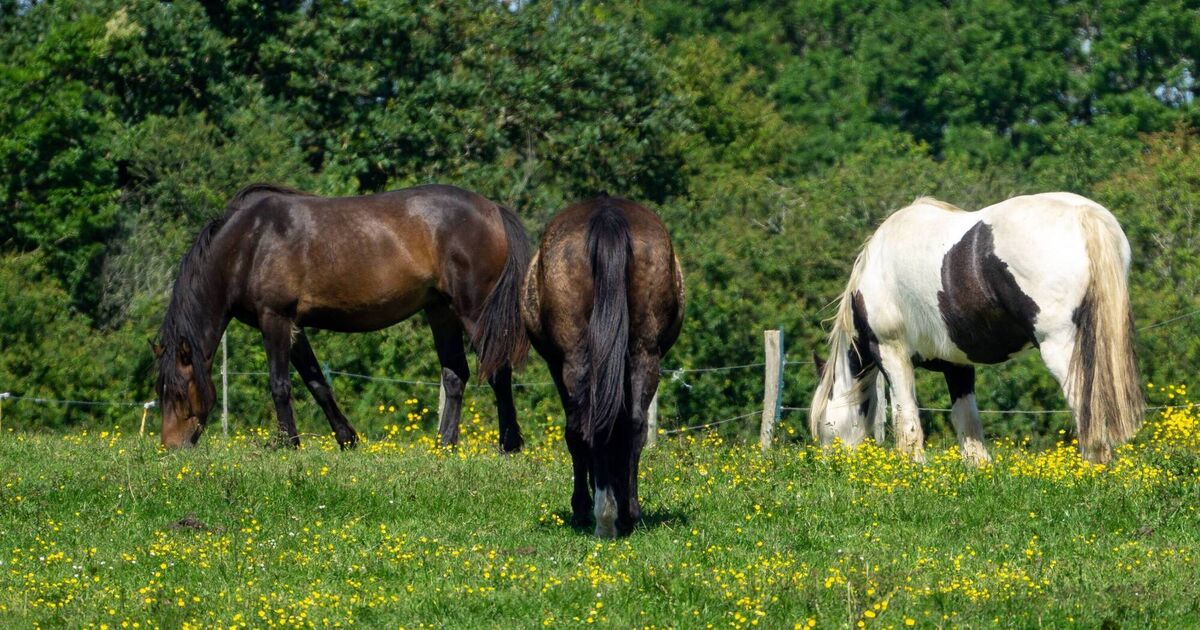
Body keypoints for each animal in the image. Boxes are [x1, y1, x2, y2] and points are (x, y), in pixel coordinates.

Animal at [153, 183, 531, 451]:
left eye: (179, 392)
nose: (171, 447)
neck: (250, 243)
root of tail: (493, 210)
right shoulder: (294, 326)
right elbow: (316, 383)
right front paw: (347, 438)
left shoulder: (274, 318)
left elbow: (280, 384)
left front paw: (287, 444)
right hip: (441, 311)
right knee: (455, 375)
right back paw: (444, 446)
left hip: (474, 312)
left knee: (498, 371)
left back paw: (508, 444)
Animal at [521, 196, 685, 537]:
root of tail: (608, 216)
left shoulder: (556, 365)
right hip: (644, 355)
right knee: (633, 425)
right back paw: (625, 513)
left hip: (574, 360)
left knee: (582, 426)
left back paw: (599, 515)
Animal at [809, 193, 1143, 465]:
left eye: (823, 423)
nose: (829, 467)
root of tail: (1085, 215)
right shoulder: (957, 365)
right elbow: (967, 422)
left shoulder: (892, 354)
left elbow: (907, 419)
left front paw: (912, 470)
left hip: (1061, 349)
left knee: (1085, 405)